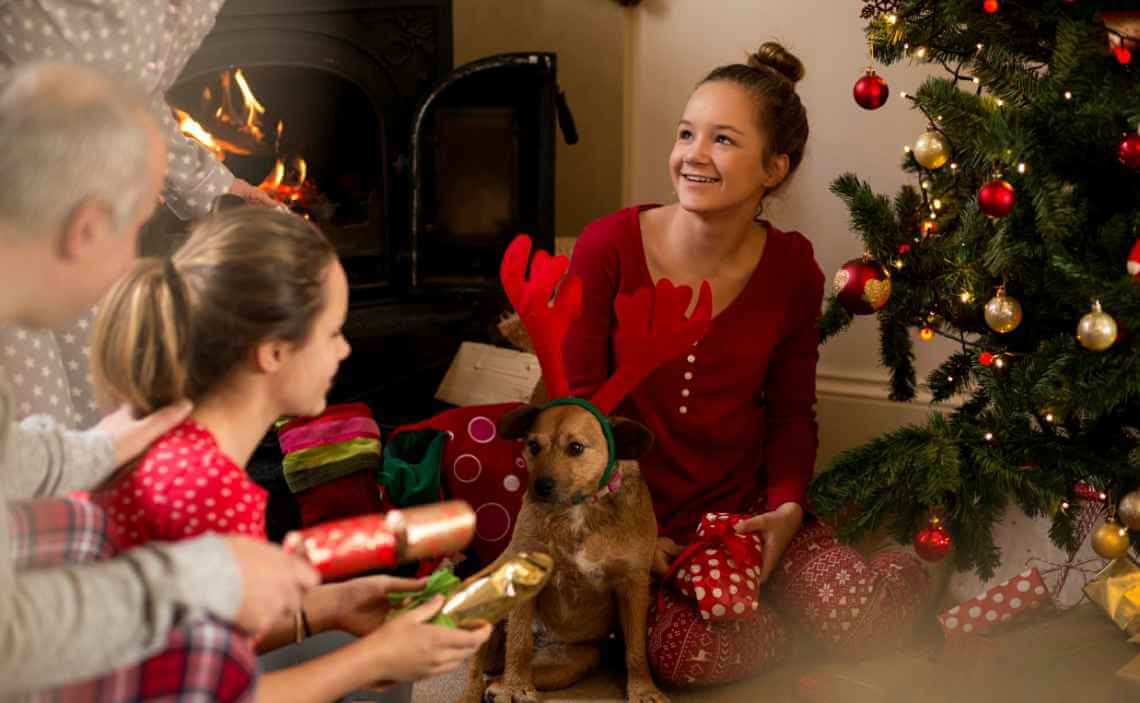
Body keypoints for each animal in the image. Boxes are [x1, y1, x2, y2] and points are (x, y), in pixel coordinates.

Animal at [456, 401, 665, 701]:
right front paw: (516, 687)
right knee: (478, 667)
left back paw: (498, 685)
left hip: (573, 663)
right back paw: (482, 690)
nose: (540, 488)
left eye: (576, 448)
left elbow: (636, 648)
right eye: (533, 445)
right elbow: (518, 642)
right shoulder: (524, 576)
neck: (580, 508)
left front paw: (643, 690)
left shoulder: (633, 585)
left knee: (496, 674)